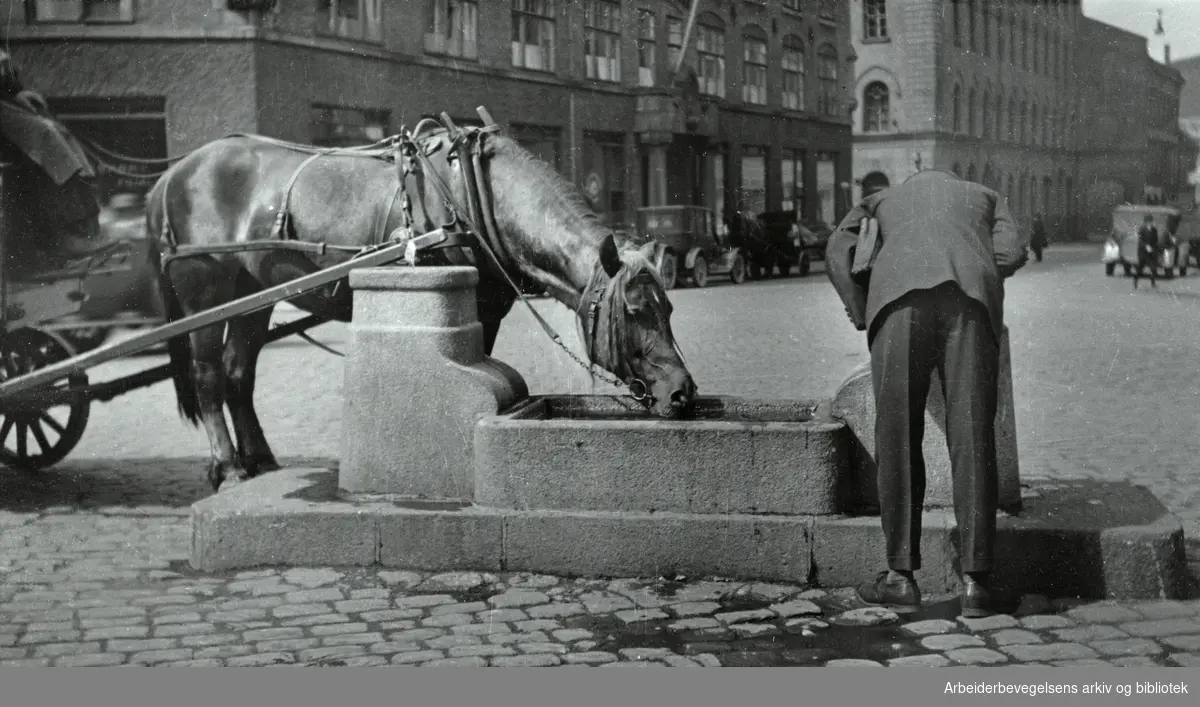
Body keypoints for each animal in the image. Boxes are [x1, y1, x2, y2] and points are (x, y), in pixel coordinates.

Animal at [145, 114, 700, 489]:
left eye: (670, 308)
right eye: (635, 310)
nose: (682, 393)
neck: (472, 193)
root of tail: (172, 176)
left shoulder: (485, 309)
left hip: (251, 299)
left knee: (239, 374)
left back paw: (260, 460)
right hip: (205, 290)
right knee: (208, 376)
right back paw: (228, 468)